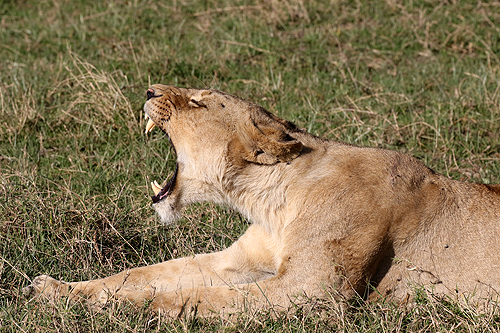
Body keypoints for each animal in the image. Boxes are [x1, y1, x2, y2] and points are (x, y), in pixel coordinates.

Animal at [24, 84, 500, 316]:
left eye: (199, 101)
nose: (147, 92)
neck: (272, 201)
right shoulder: (236, 262)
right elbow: (144, 275)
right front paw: (54, 290)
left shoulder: (309, 291)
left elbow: (188, 297)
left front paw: (100, 308)